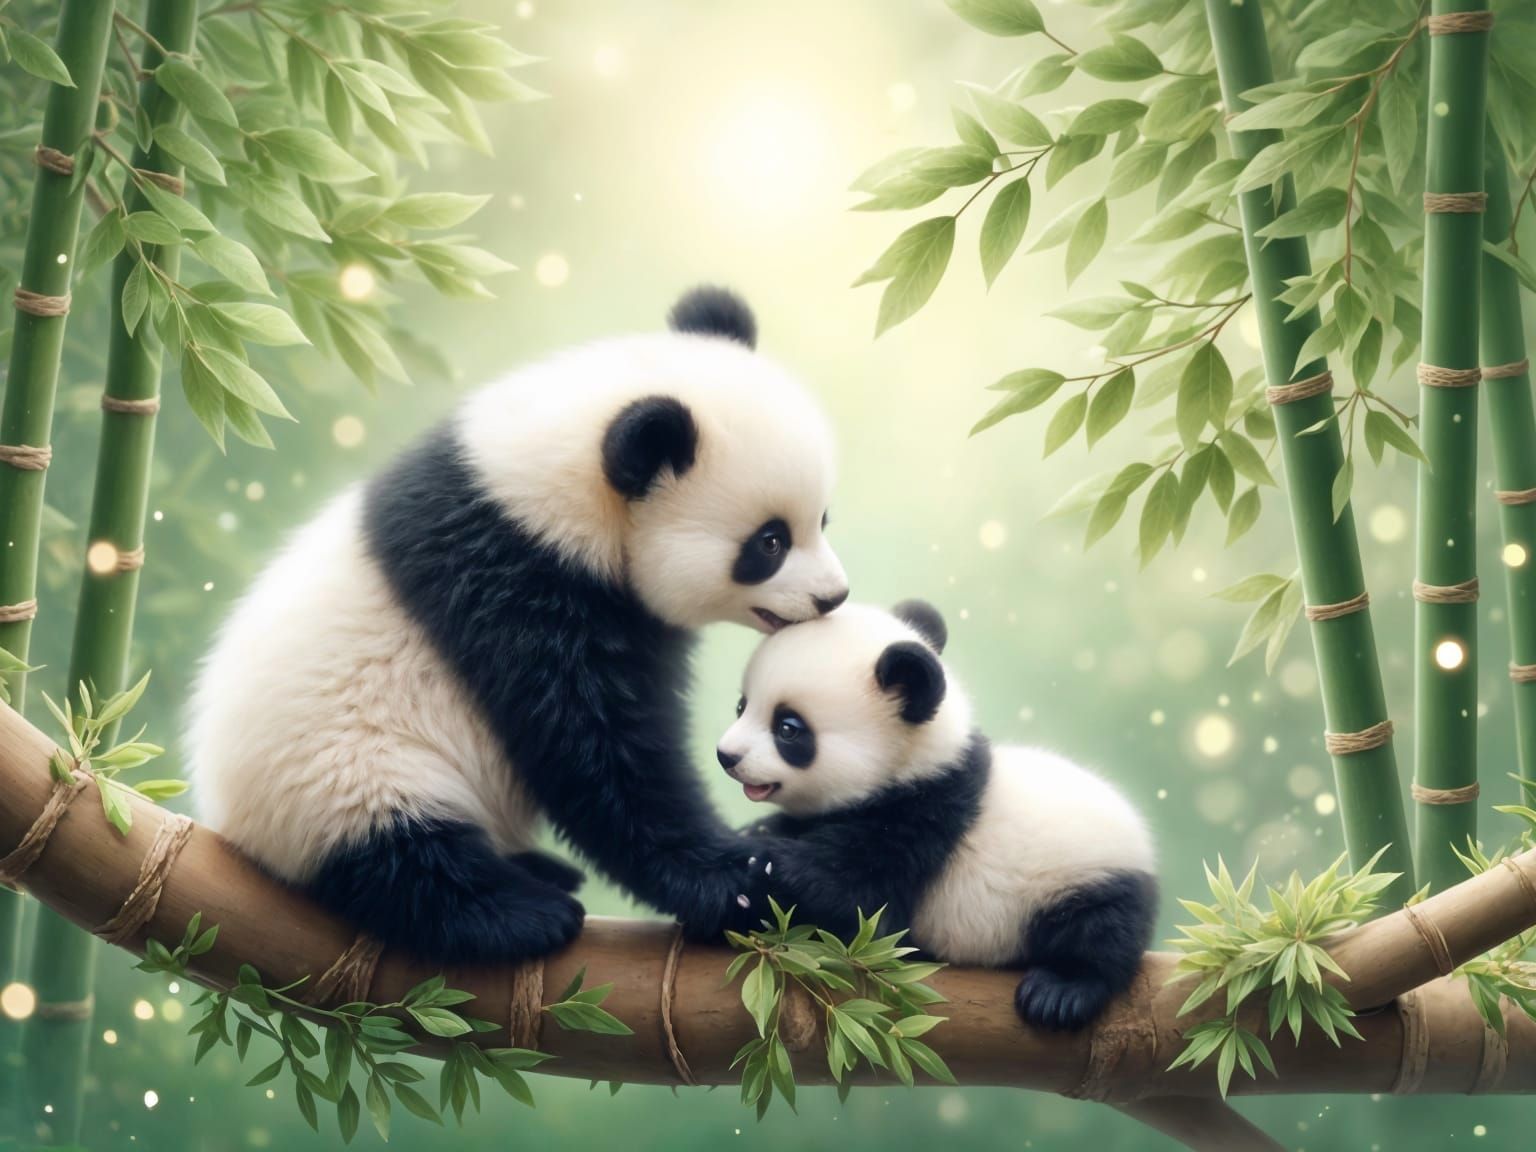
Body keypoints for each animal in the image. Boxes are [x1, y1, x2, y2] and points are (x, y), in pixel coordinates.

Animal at [187, 287, 849, 965]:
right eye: (769, 543)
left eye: (821, 519)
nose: (834, 596)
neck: (542, 489)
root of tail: (232, 825)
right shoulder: (515, 583)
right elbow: (591, 744)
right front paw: (733, 882)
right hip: (341, 769)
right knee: (403, 854)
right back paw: (518, 912)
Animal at [716, 600, 1157, 1031]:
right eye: (741, 706)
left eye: (788, 728)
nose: (726, 756)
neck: (917, 762)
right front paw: (755, 836)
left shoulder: (924, 819)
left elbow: (856, 900)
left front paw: (768, 863)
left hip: (1083, 874)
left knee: (1100, 931)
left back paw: (1060, 993)